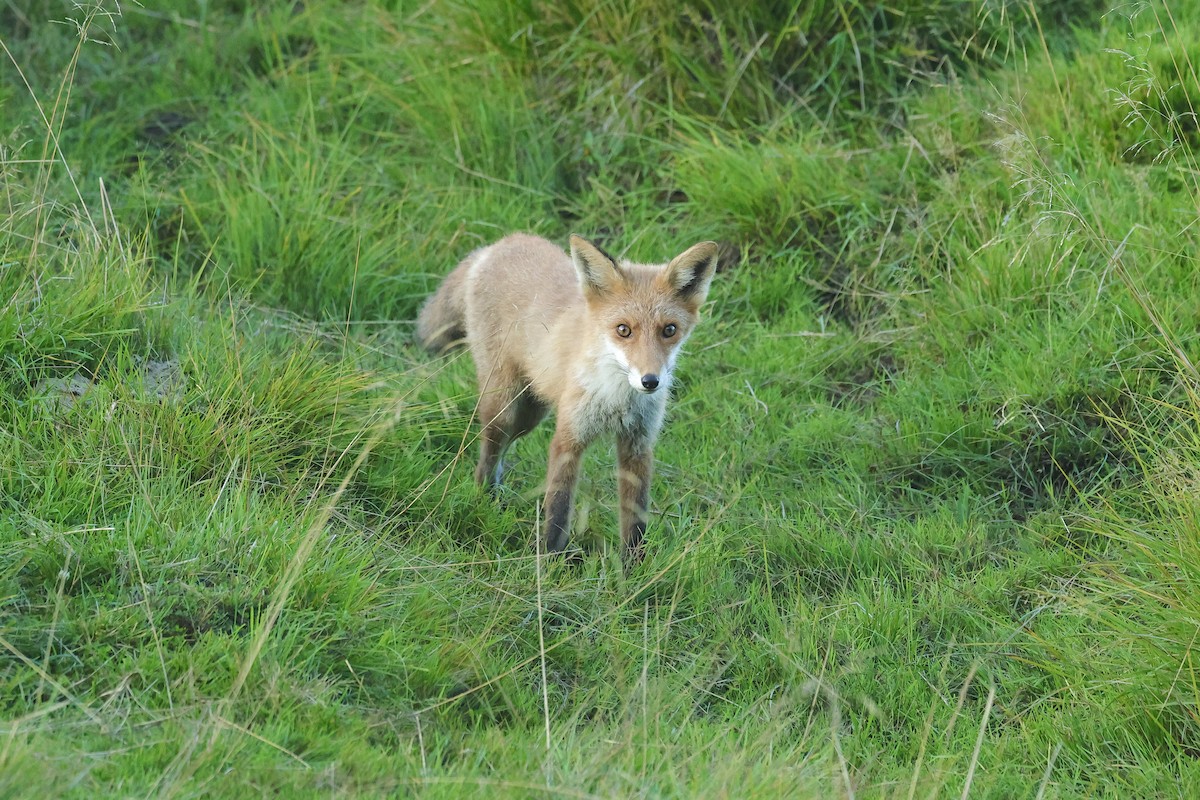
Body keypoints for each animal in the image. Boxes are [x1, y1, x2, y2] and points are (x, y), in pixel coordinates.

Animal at [416, 232, 719, 559]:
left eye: (669, 330)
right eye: (623, 330)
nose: (650, 381)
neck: (616, 399)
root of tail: (502, 243)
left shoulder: (637, 445)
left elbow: (634, 522)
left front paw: (633, 568)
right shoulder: (568, 439)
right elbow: (559, 510)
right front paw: (549, 561)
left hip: (530, 415)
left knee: (503, 451)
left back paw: (499, 495)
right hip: (504, 406)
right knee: (489, 451)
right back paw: (485, 497)